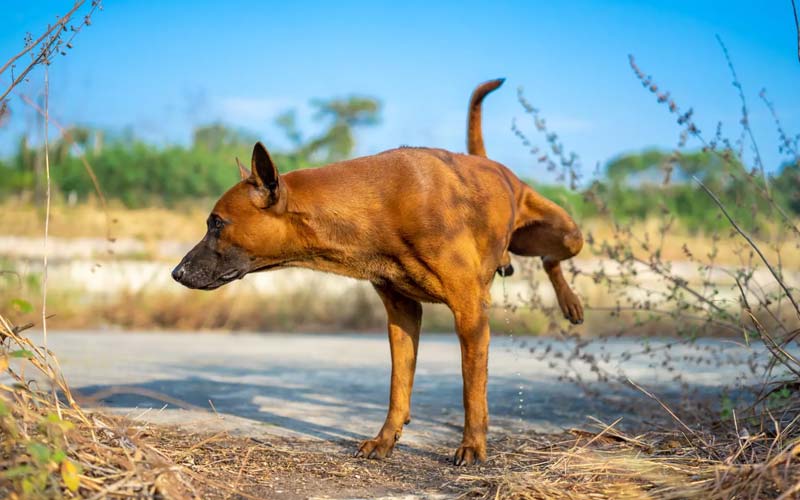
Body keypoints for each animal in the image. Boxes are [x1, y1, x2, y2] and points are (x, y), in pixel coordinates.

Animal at [172, 79, 580, 464]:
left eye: (217, 224)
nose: (177, 273)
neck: (380, 205)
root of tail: (494, 166)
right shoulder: (402, 314)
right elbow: (398, 386)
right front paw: (386, 439)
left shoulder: (470, 314)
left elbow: (472, 390)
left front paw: (472, 445)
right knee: (547, 260)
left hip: (568, 235)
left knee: (552, 259)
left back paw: (570, 302)